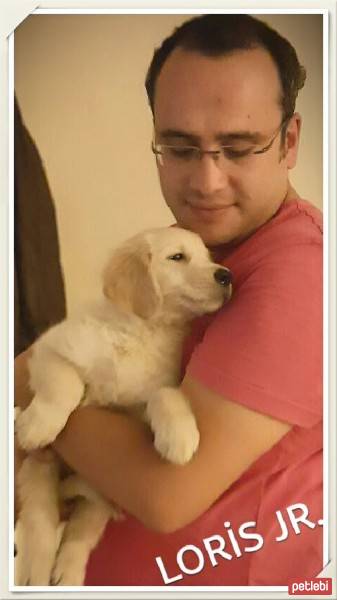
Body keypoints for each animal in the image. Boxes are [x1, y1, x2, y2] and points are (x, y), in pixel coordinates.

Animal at [15, 227, 231, 584]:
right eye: (178, 257)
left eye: (209, 257)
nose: (227, 275)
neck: (143, 331)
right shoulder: (49, 349)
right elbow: (65, 385)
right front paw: (37, 425)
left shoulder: (140, 404)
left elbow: (165, 395)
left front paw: (180, 437)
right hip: (37, 470)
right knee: (39, 525)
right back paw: (35, 572)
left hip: (99, 496)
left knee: (80, 534)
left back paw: (68, 573)